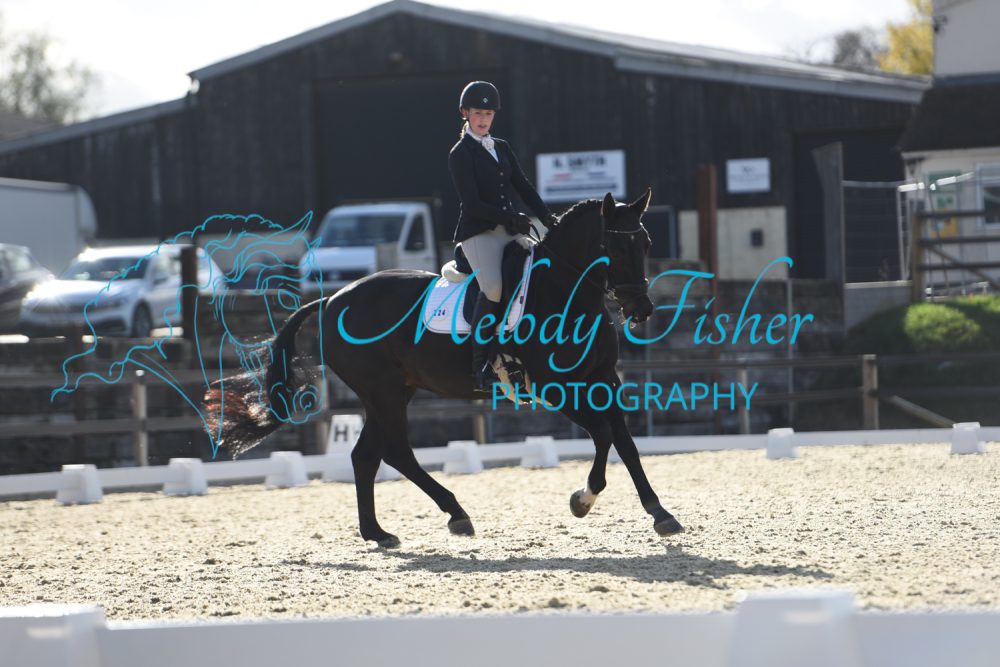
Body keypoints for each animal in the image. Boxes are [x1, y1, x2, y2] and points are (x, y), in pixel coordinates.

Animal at [206, 190, 684, 547]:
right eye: (614, 247)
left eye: (645, 244)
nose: (641, 309)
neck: (563, 291)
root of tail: (332, 300)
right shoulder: (555, 388)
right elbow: (602, 435)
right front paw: (581, 500)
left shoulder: (603, 380)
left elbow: (626, 443)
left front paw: (660, 513)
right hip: (381, 391)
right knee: (395, 452)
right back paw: (455, 515)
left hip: (394, 391)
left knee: (366, 456)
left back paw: (379, 532)